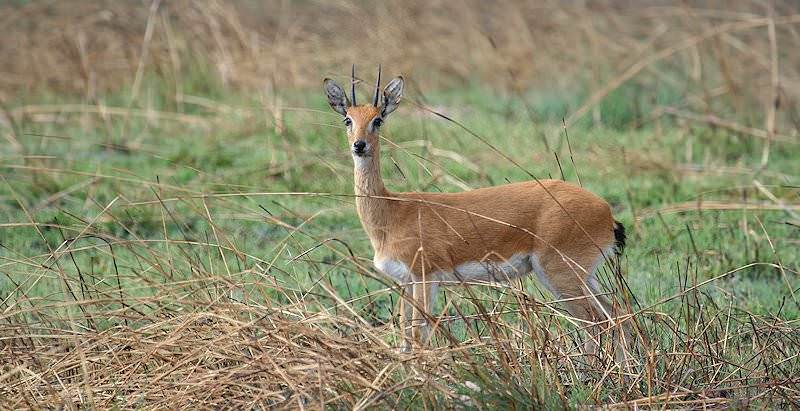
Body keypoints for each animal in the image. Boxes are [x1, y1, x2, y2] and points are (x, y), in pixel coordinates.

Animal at [324, 66, 632, 356]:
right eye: (347, 119)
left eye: (377, 119)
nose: (359, 145)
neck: (392, 212)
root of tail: (605, 211)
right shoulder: (405, 282)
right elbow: (405, 335)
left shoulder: (425, 276)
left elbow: (418, 335)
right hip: (583, 277)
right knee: (619, 315)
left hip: (560, 274)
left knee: (597, 323)